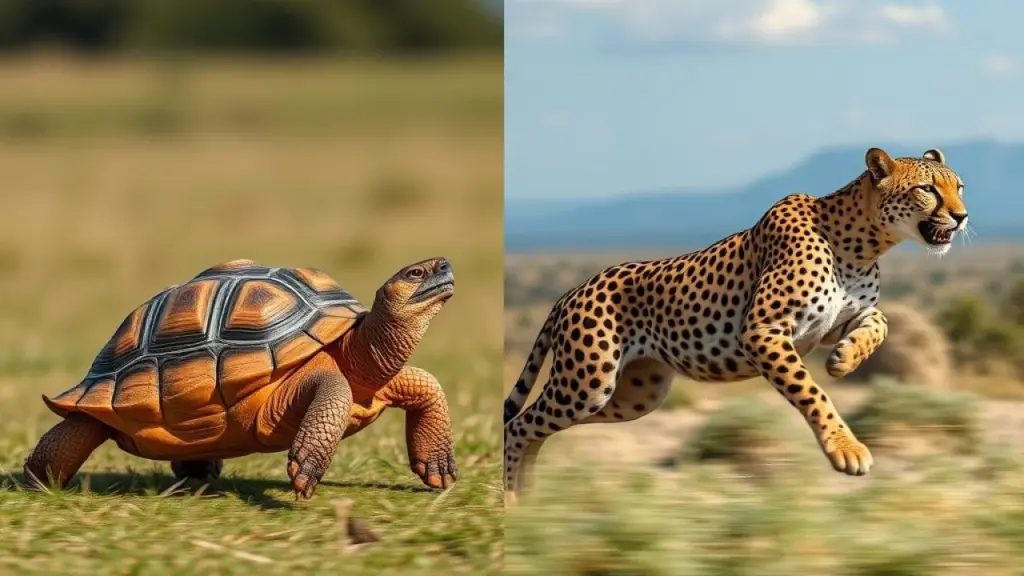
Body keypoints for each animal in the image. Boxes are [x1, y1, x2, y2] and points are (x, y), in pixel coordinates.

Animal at [503, 147, 968, 506]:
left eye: (958, 187)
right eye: (927, 189)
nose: (962, 216)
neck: (862, 242)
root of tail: (573, 290)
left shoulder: (836, 321)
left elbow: (880, 322)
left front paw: (845, 358)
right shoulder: (763, 330)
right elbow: (813, 393)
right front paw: (846, 448)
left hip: (633, 396)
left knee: (537, 427)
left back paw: (530, 499)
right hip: (588, 382)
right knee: (519, 423)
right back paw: (512, 499)